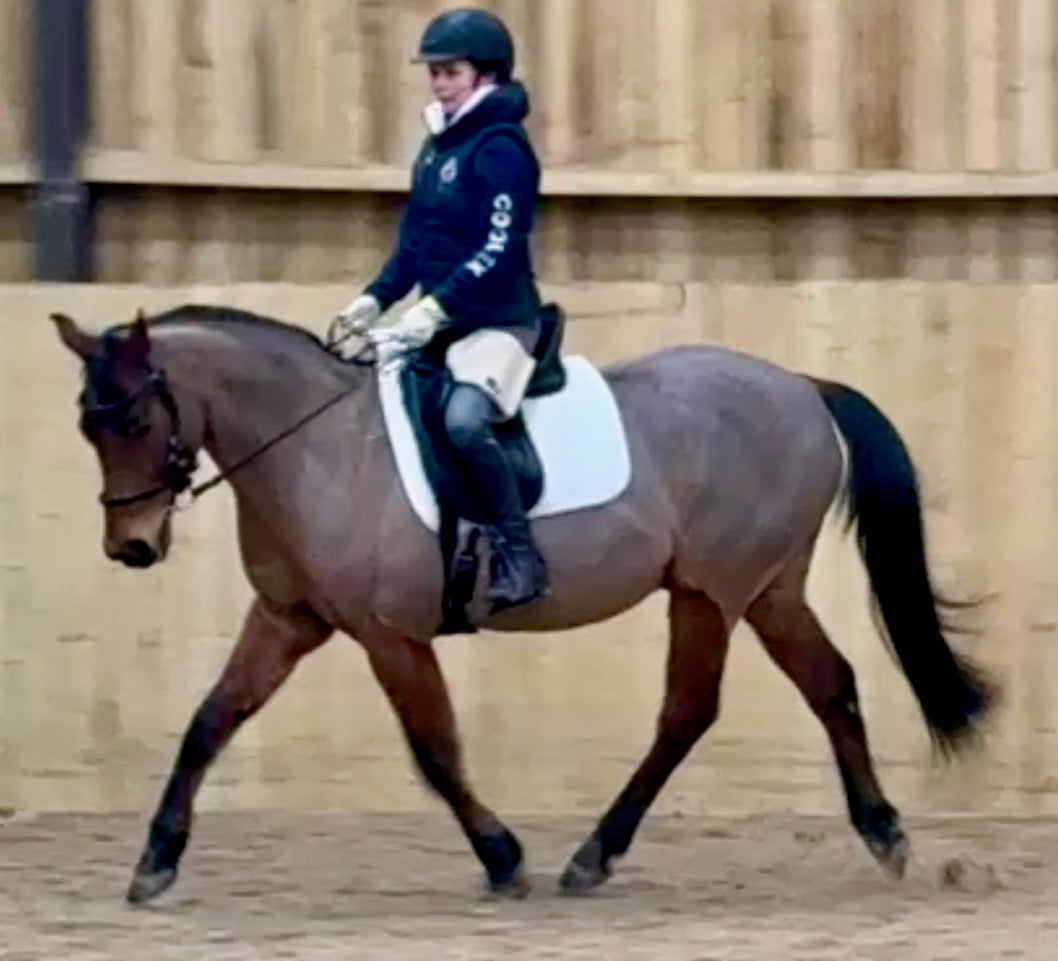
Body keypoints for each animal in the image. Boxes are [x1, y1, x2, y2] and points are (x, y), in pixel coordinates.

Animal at [45, 304, 994, 905]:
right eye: (88, 426)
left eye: (133, 421)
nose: (132, 547)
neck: (319, 445)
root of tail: (799, 385)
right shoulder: (289, 620)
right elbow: (210, 720)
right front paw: (155, 862)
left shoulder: (388, 635)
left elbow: (435, 751)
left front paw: (503, 859)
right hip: (768, 588)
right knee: (828, 682)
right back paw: (883, 834)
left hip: (713, 590)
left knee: (689, 710)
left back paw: (593, 856)